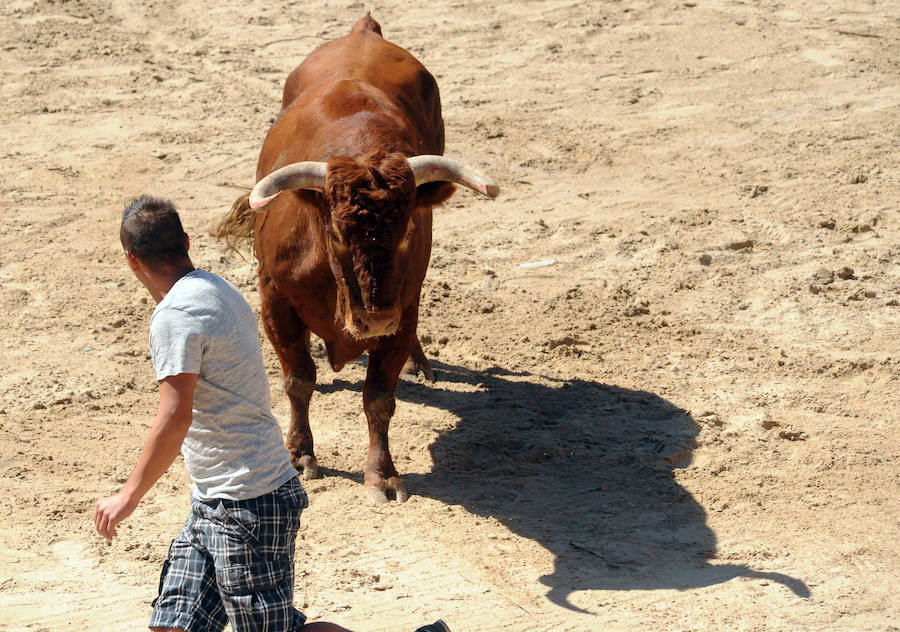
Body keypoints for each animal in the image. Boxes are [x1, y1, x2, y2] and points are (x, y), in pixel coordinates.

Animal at [217, 14, 500, 504]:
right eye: (336, 234)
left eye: (408, 230)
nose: (374, 318)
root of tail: (363, 30)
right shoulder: (274, 299)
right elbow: (298, 380)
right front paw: (299, 454)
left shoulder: (404, 309)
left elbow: (379, 397)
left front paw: (382, 474)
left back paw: (418, 363)